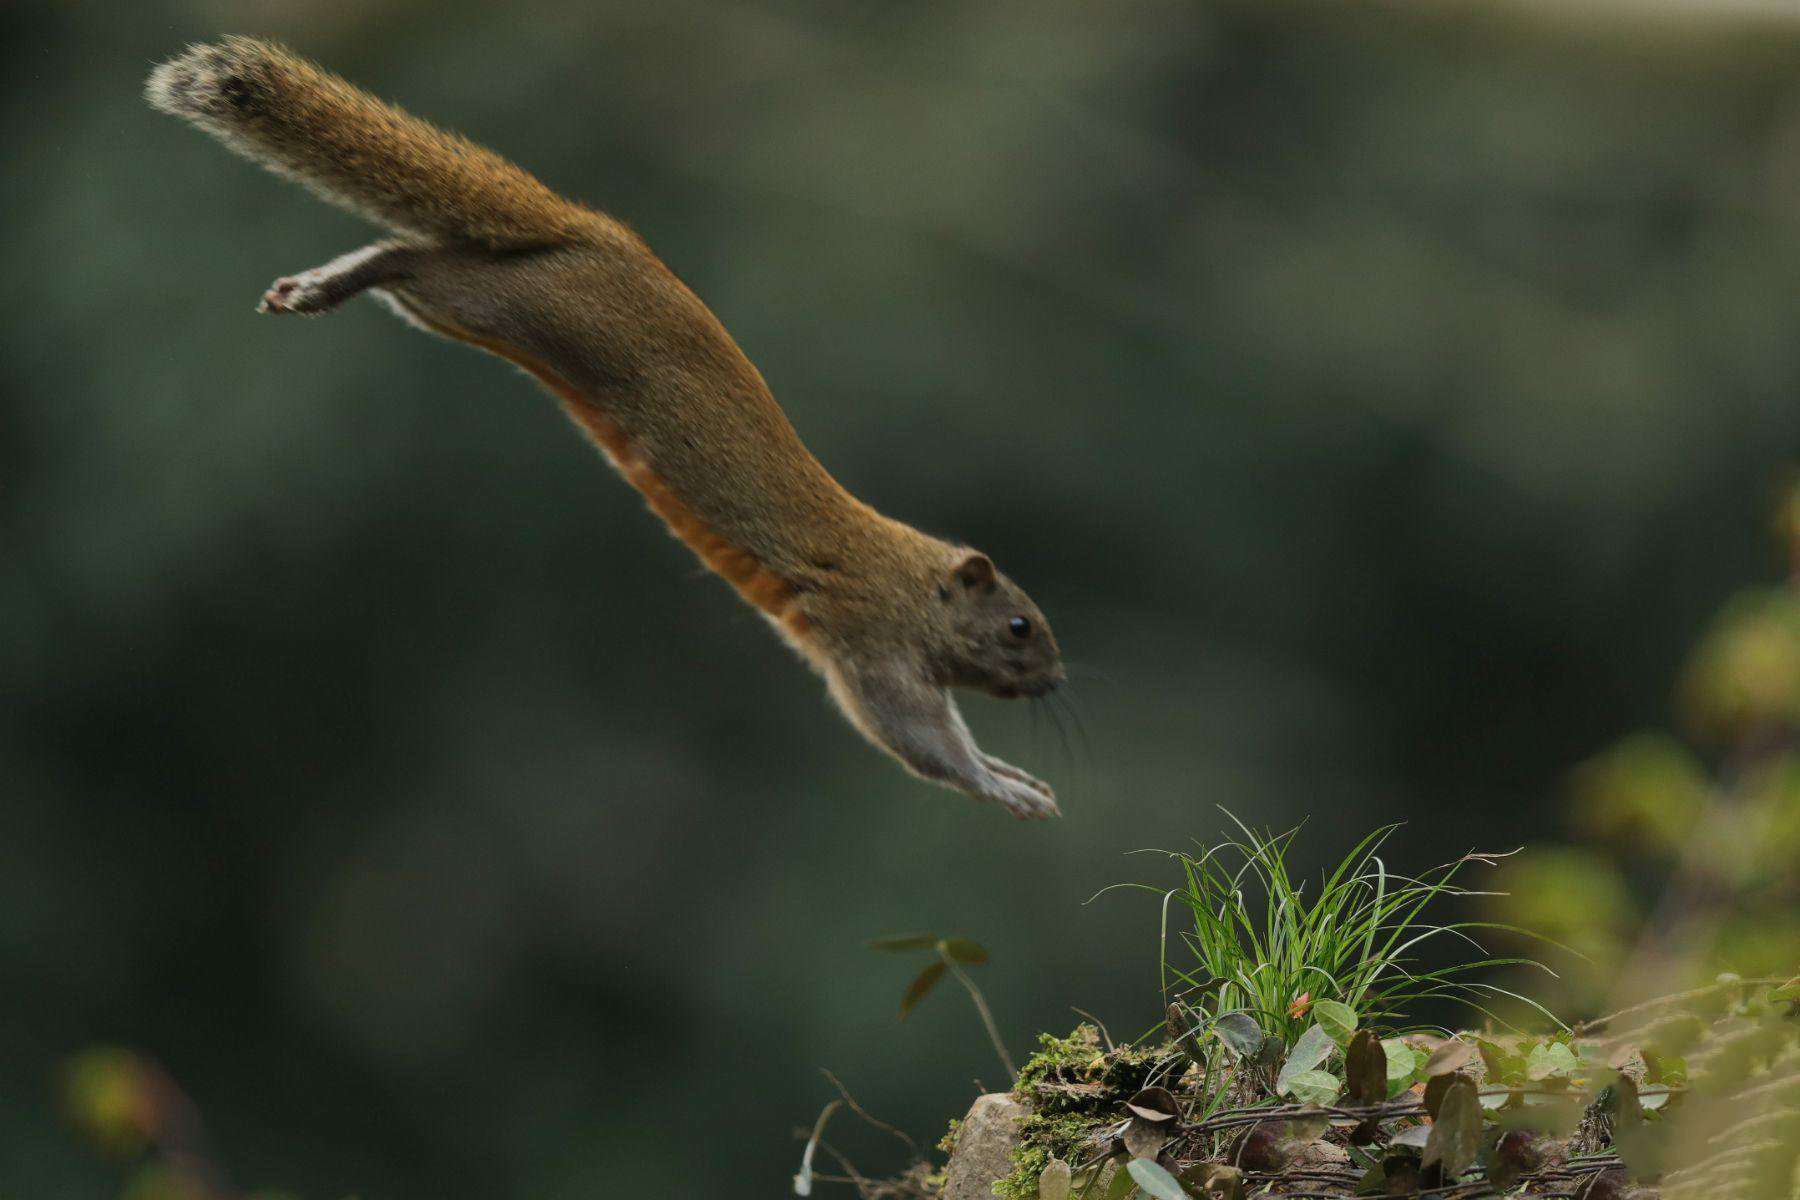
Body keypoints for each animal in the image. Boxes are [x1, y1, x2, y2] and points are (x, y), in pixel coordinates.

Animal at [151, 42, 1065, 820]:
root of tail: (599, 232)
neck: (909, 582)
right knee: (414, 256)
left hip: (476, 312)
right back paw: (329, 282)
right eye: (1019, 626)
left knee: (415, 258)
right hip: (513, 305)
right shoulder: (868, 642)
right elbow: (919, 741)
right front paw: (1008, 788)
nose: (1057, 681)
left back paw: (324, 282)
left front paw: (1014, 771)